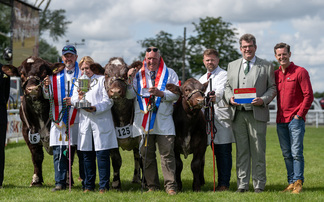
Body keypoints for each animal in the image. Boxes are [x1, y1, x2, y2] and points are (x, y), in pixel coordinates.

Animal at [103, 56, 142, 189]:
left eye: (125, 74)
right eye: (106, 74)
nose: (115, 91)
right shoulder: (111, 139)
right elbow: (116, 160)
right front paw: (116, 183)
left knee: (136, 157)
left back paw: (136, 178)